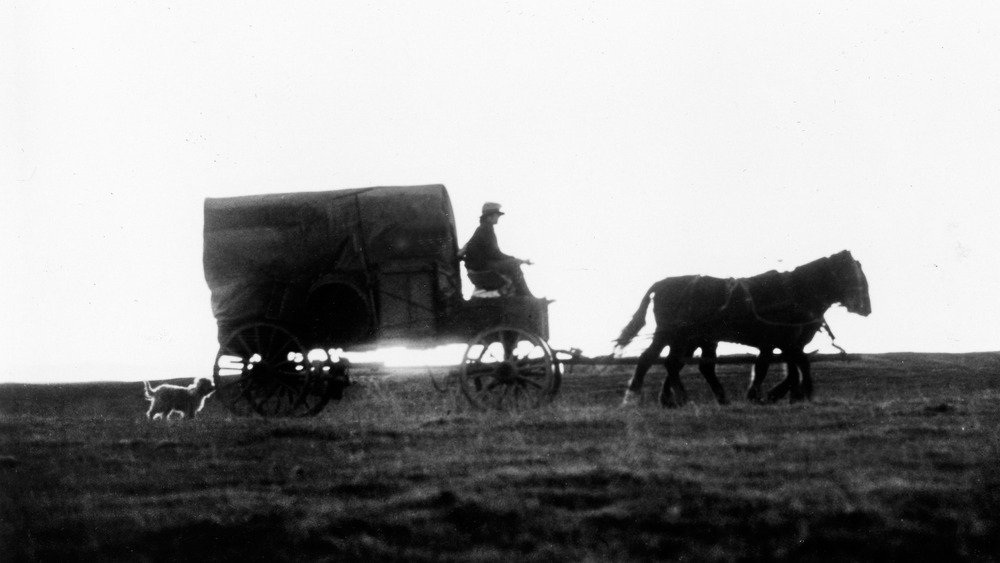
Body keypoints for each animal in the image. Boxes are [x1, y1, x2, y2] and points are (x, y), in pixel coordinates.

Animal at [612, 250, 872, 406]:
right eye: (852, 274)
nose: (867, 308)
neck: (795, 292)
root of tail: (662, 283)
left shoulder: (781, 344)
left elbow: (779, 368)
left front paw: (776, 395)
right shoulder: (784, 342)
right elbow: (793, 367)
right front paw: (783, 394)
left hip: (682, 337)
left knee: (666, 362)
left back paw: (669, 399)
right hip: (677, 335)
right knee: (664, 362)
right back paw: (666, 398)